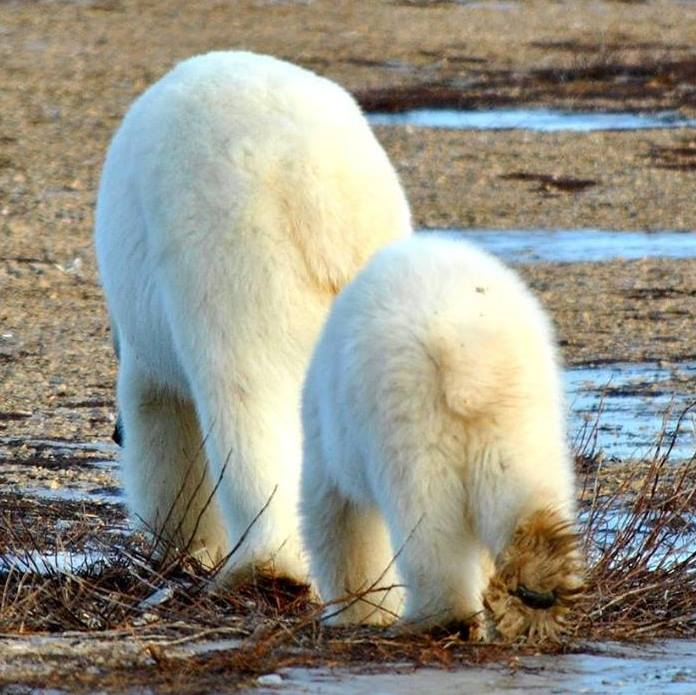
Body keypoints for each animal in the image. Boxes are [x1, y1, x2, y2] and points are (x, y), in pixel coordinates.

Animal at [94, 51, 411, 584]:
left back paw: (267, 566)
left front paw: (185, 547)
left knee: (245, 392)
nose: (114, 434)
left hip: (232, 250)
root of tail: (323, 190)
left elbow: (163, 421)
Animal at [300, 234, 583, 640]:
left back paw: (434, 617)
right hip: (519, 407)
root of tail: (465, 355)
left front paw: (358, 612)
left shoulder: (327, 431)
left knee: (426, 517)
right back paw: (537, 584)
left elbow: (336, 512)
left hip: (409, 410)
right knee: (521, 482)